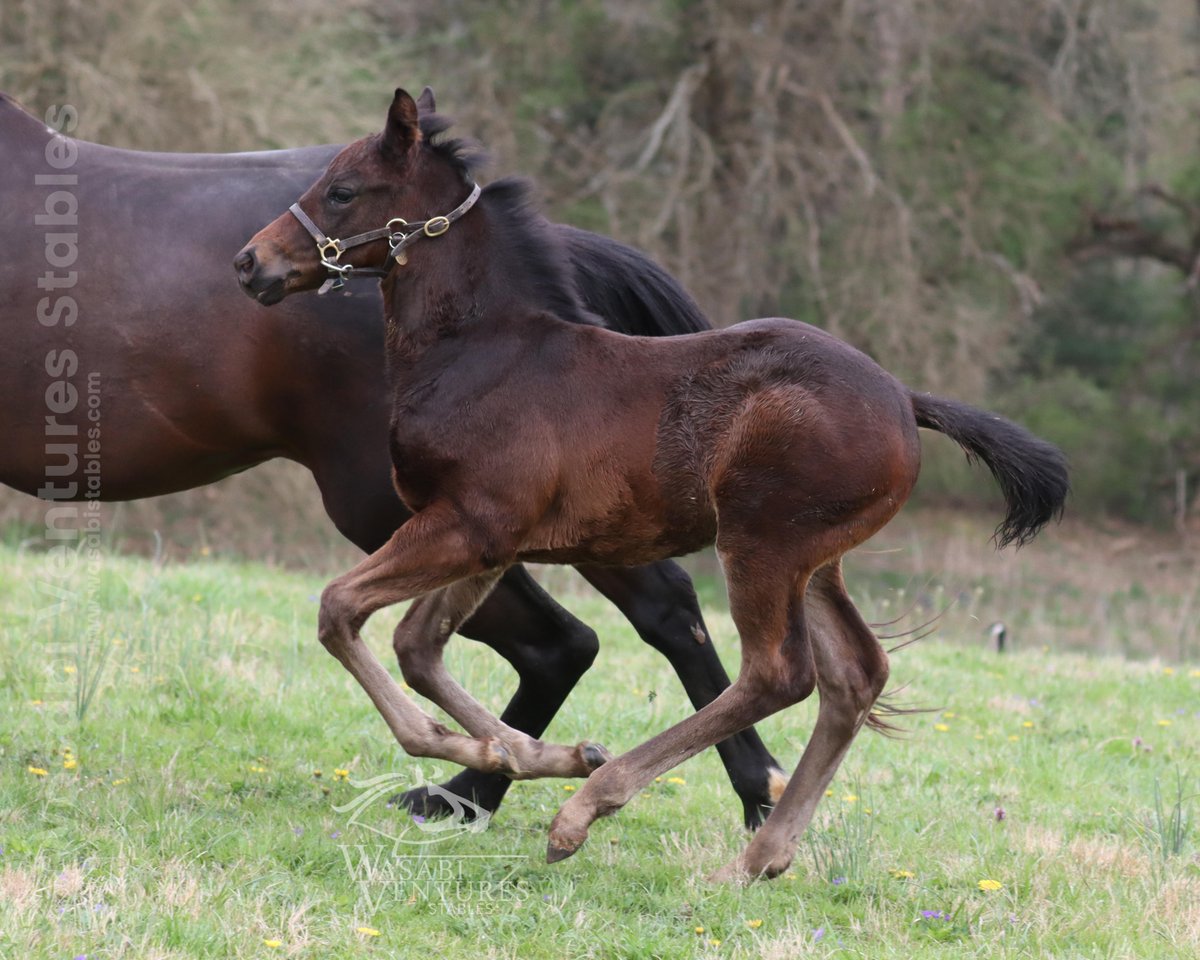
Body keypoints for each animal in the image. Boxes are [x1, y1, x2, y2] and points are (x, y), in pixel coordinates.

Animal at [236, 91, 1070, 883]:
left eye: (343, 190)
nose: (251, 262)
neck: (483, 352)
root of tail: (903, 397)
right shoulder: (491, 542)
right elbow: (418, 646)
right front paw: (524, 755)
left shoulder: (470, 525)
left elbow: (341, 611)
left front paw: (518, 762)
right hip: (817, 562)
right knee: (855, 677)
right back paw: (757, 860)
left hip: (762, 546)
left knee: (778, 675)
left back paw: (587, 813)